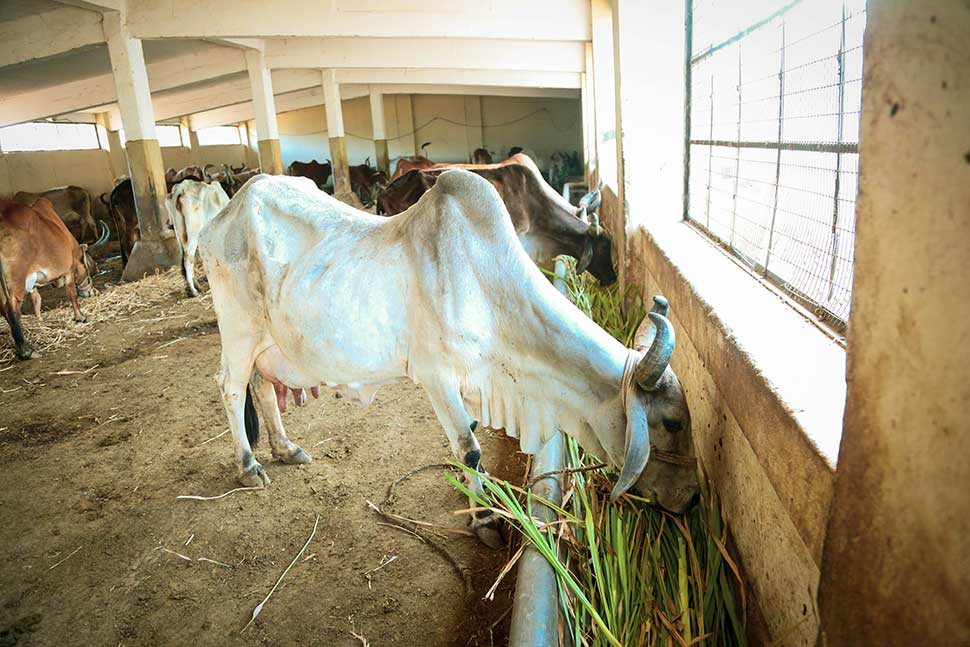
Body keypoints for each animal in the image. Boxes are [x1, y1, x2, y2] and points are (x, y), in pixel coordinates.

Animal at [0, 198, 106, 360]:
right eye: (90, 273)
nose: (91, 292)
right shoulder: (68, 271)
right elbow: (71, 294)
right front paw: (80, 317)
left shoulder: (33, 284)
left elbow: (37, 301)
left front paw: (40, 323)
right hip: (16, 279)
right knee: (12, 308)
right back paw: (26, 350)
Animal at [199, 172, 698, 549]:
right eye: (672, 423)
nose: (692, 500)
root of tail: (223, 215)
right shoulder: (434, 376)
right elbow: (470, 449)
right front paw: (484, 520)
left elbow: (472, 437)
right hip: (239, 331)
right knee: (230, 387)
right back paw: (250, 466)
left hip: (267, 342)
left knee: (262, 387)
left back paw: (285, 448)